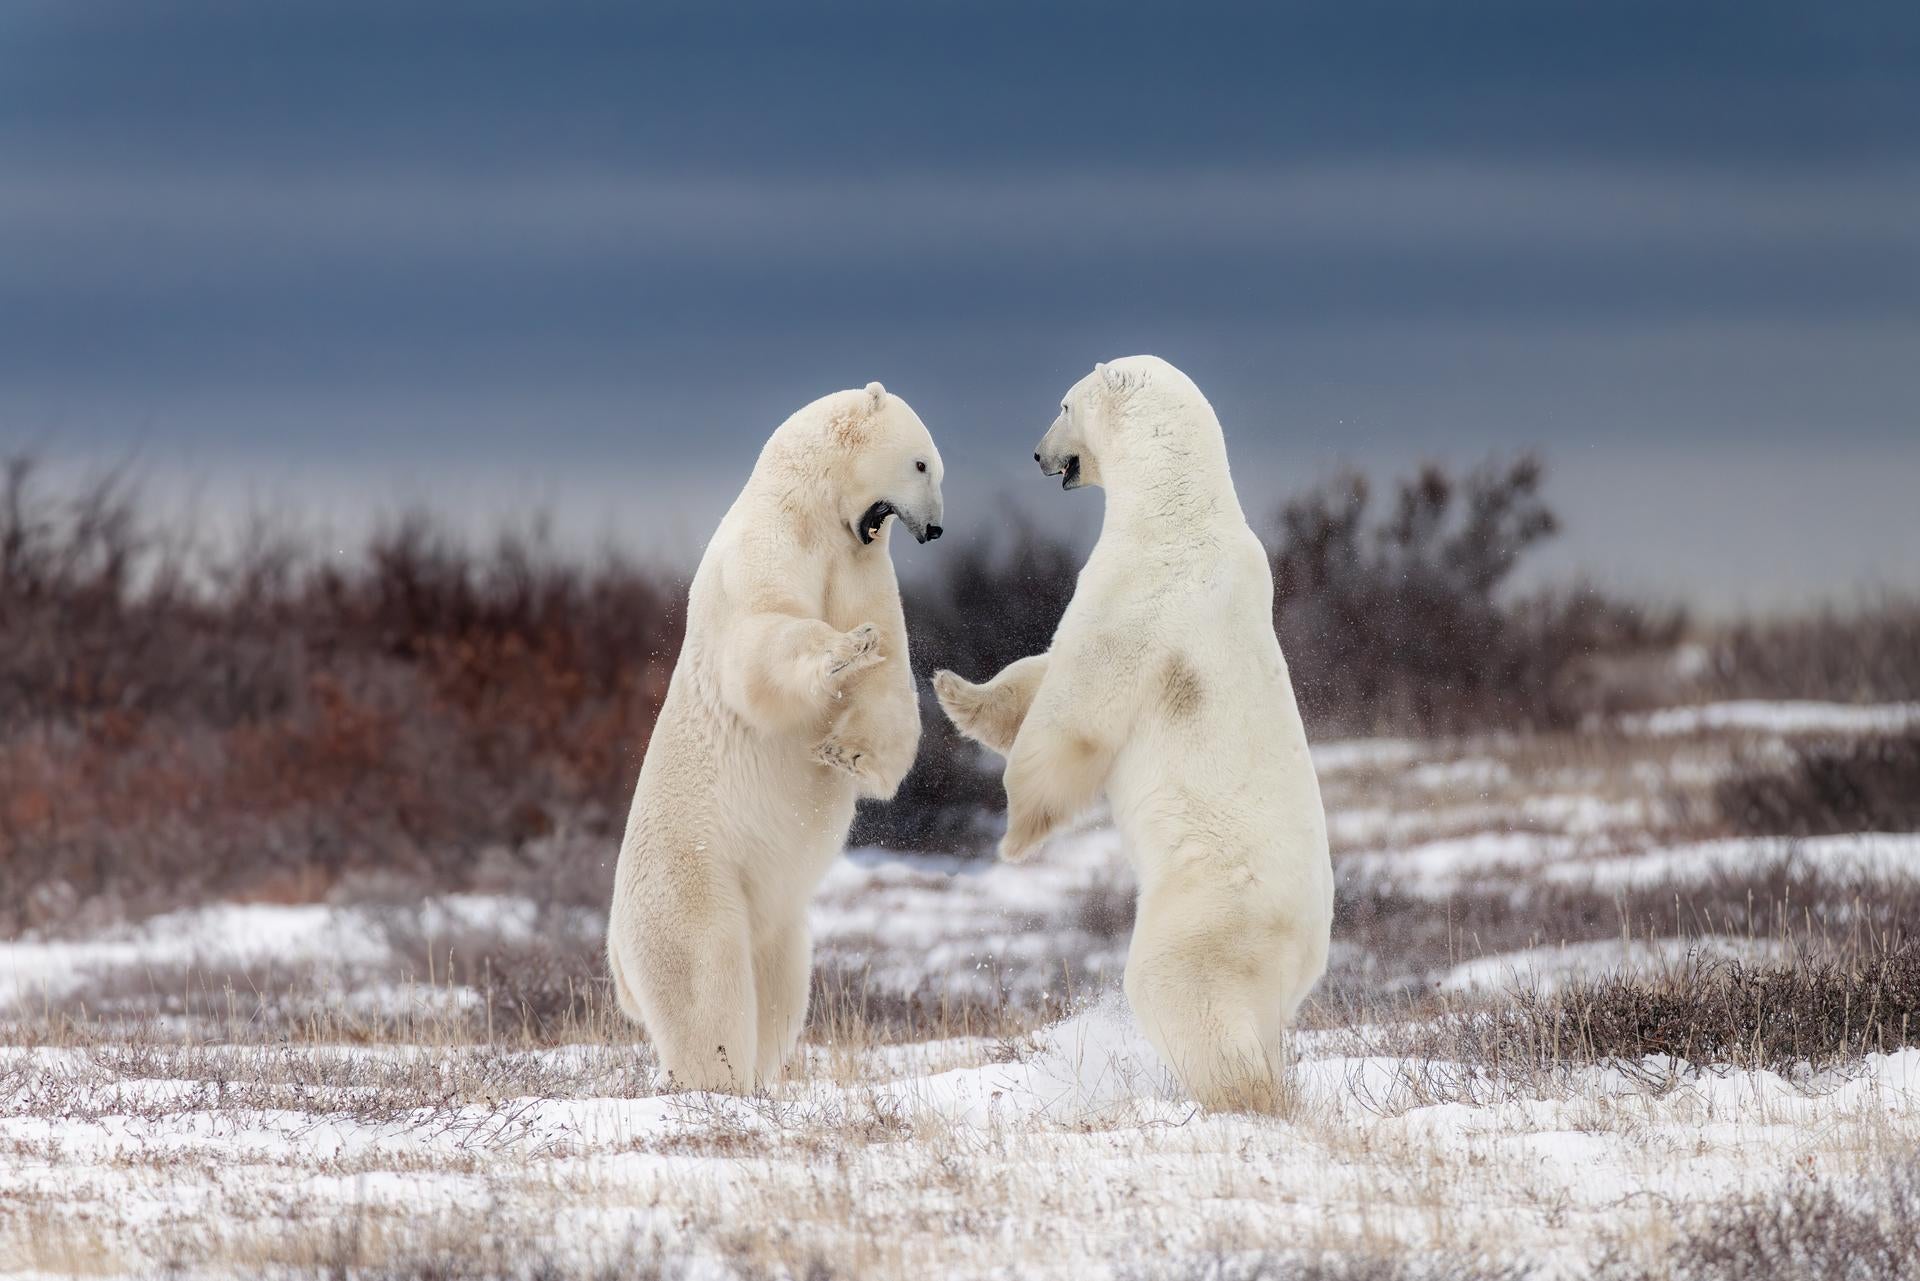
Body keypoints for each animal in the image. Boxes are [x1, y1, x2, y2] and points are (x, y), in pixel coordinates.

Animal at [606, 380, 944, 1090]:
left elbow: (887, 668)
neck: (815, 512)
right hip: (695, 881)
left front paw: (849, 751)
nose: (934, 529)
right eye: (922, 463)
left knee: (780, 992)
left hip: (779, 922)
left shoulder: (860, 559)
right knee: (709, 987)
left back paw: (763, 1075)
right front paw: (844, 649)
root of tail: (615, 957)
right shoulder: (764, 545)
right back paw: (721, 1081)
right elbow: (764, 634)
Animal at [933, 353, 1328, 1113]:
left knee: (1178, 991)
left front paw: (1015, 837)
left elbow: (1074, 713)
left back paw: (1243, 1096)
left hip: (1208, 909)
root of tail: (1306, 945)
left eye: (1063, 405)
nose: (1036, 454)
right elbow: (1040, 673)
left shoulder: (1137, 598)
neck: (1177, 508)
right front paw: (954, 690)